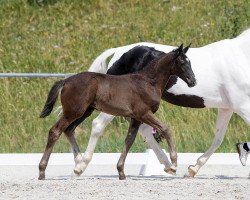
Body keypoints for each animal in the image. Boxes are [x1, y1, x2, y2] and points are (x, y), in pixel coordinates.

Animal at [38, 43, 195, 180]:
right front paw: (173, 165)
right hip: (74, 111)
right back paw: (42, 171)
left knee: (69, 130)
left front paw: (121, 172)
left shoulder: (136, 118)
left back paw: (78, 164)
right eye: (181, 62)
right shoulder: (144, 113)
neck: (148, 82)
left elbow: (129, 140)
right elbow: (165, 129)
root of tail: (66, 81)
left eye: (190, 62)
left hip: (84, 111)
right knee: (55, 131)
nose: (193, 81)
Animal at [71, 28, 250, 177]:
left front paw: (193, 169)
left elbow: (218, 139)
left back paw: (168, 165)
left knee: (143, 130)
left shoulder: (227, 108)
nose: (193, 81)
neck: (241, 56)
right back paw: (80, 166)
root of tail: (118, 52)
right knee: (98, 125)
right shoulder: (242, 106)